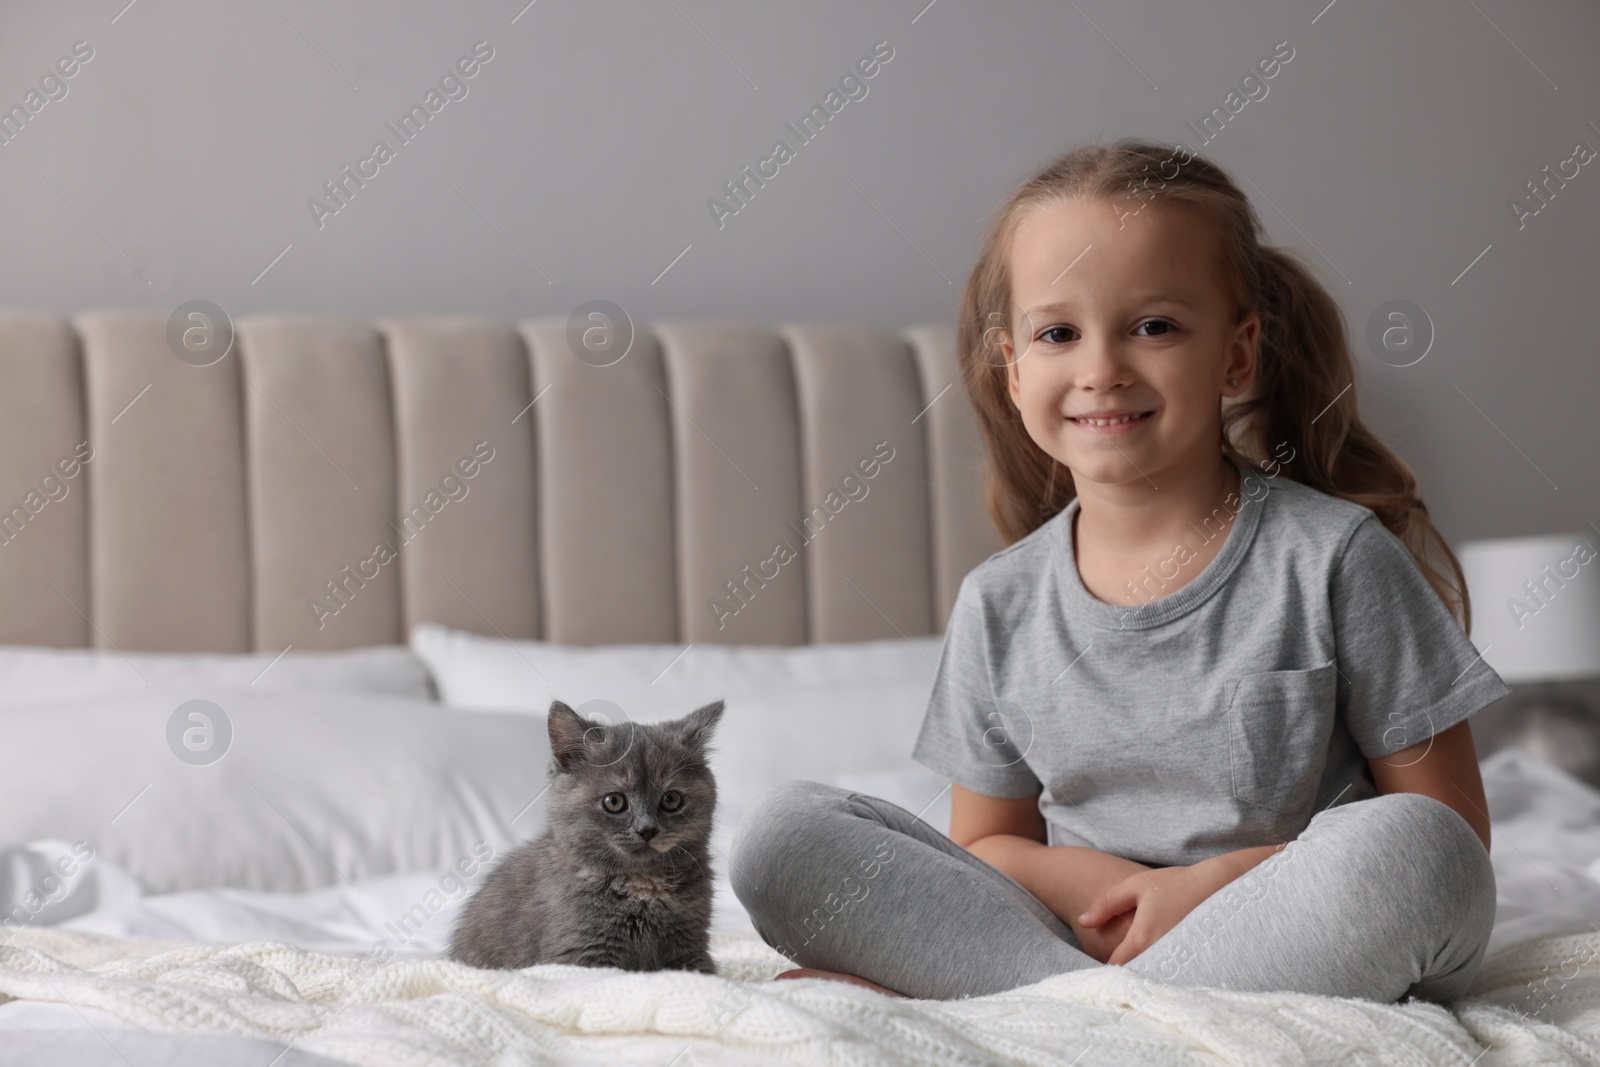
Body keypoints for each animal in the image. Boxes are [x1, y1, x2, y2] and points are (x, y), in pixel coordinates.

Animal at [451, 697, 726, 972]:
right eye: (614, 801)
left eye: (671, 799)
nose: (647, 829)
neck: (643, 884)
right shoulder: (583, 951)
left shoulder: (690, 945)